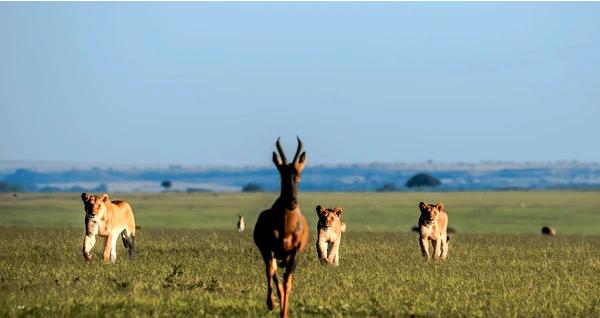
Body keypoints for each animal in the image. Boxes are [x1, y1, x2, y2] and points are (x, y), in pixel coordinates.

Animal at [253, 138, 310, 318]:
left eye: (299, 175)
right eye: (281, 175)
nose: (292, 202)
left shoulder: (295, 252)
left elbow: (287, 284)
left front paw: (284, 313)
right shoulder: (269, 250)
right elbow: (272, 274)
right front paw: (270, 304)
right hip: (268, 253)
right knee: (272, 274)